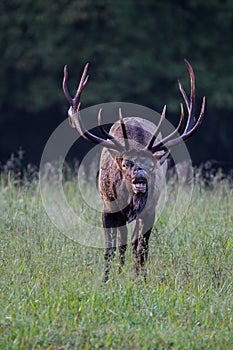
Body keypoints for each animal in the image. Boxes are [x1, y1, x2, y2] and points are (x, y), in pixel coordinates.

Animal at [62, 60, 206, 282]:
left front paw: (140, 281)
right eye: (125, 164)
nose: (140, 178)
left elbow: (141, 249)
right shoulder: (108, 207)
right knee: (122, 242)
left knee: (133, 243)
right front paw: (106, 280)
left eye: (151, 164)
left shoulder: (150, 210)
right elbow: (110, 249)